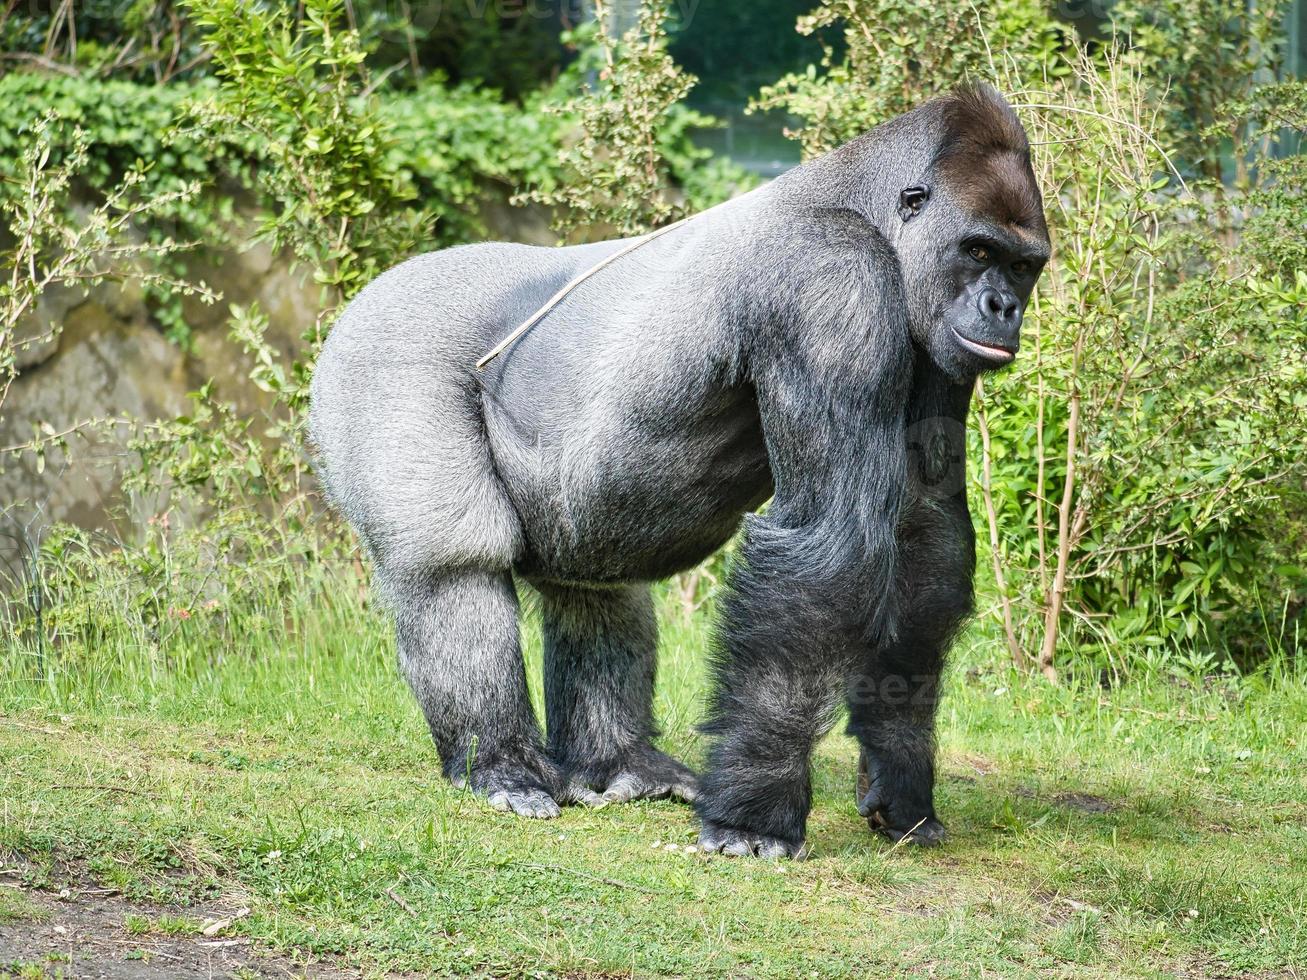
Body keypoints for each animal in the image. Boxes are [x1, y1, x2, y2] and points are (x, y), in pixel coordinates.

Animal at [308, 82, 1050, 857]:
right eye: (977, 250)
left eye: (1021, 266)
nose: (1003, 307)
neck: (864, 205)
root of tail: (366, 295)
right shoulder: (830, 279)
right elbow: (831, 542)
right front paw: (754, 810)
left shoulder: (934, 339)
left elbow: (924, 537)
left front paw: (900, 780)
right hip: (384, 348)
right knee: (453, 564)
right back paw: (501, 761)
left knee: (596, 585)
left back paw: (618, 761)